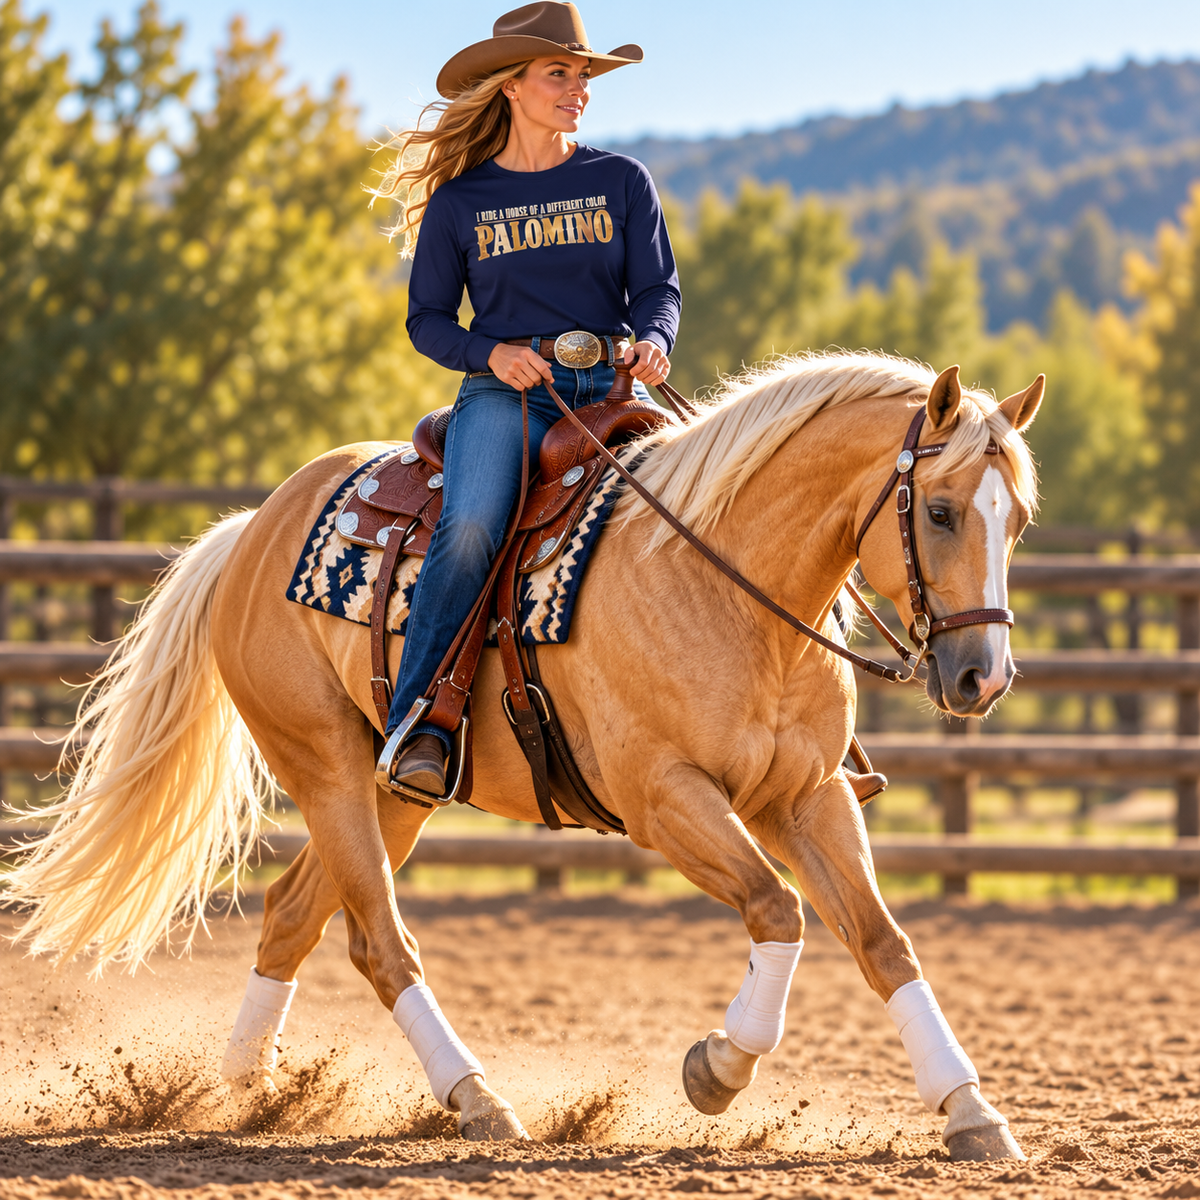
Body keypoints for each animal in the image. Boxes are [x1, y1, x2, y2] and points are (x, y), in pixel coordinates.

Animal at [7, 351, 1043, 1157]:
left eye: (1019, 519)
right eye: (941, 511)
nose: (981, 677)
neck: (723, 584)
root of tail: (251, 530)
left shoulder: (809, 798)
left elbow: (883, 942)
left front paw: (972, 1113)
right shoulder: (666, 799)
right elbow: (775, 909)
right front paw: (716, 1068)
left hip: (396, 793)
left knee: (294, 914)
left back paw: (245, 1089)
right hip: (325, 766)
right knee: (382, 943)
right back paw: (476, 1099)